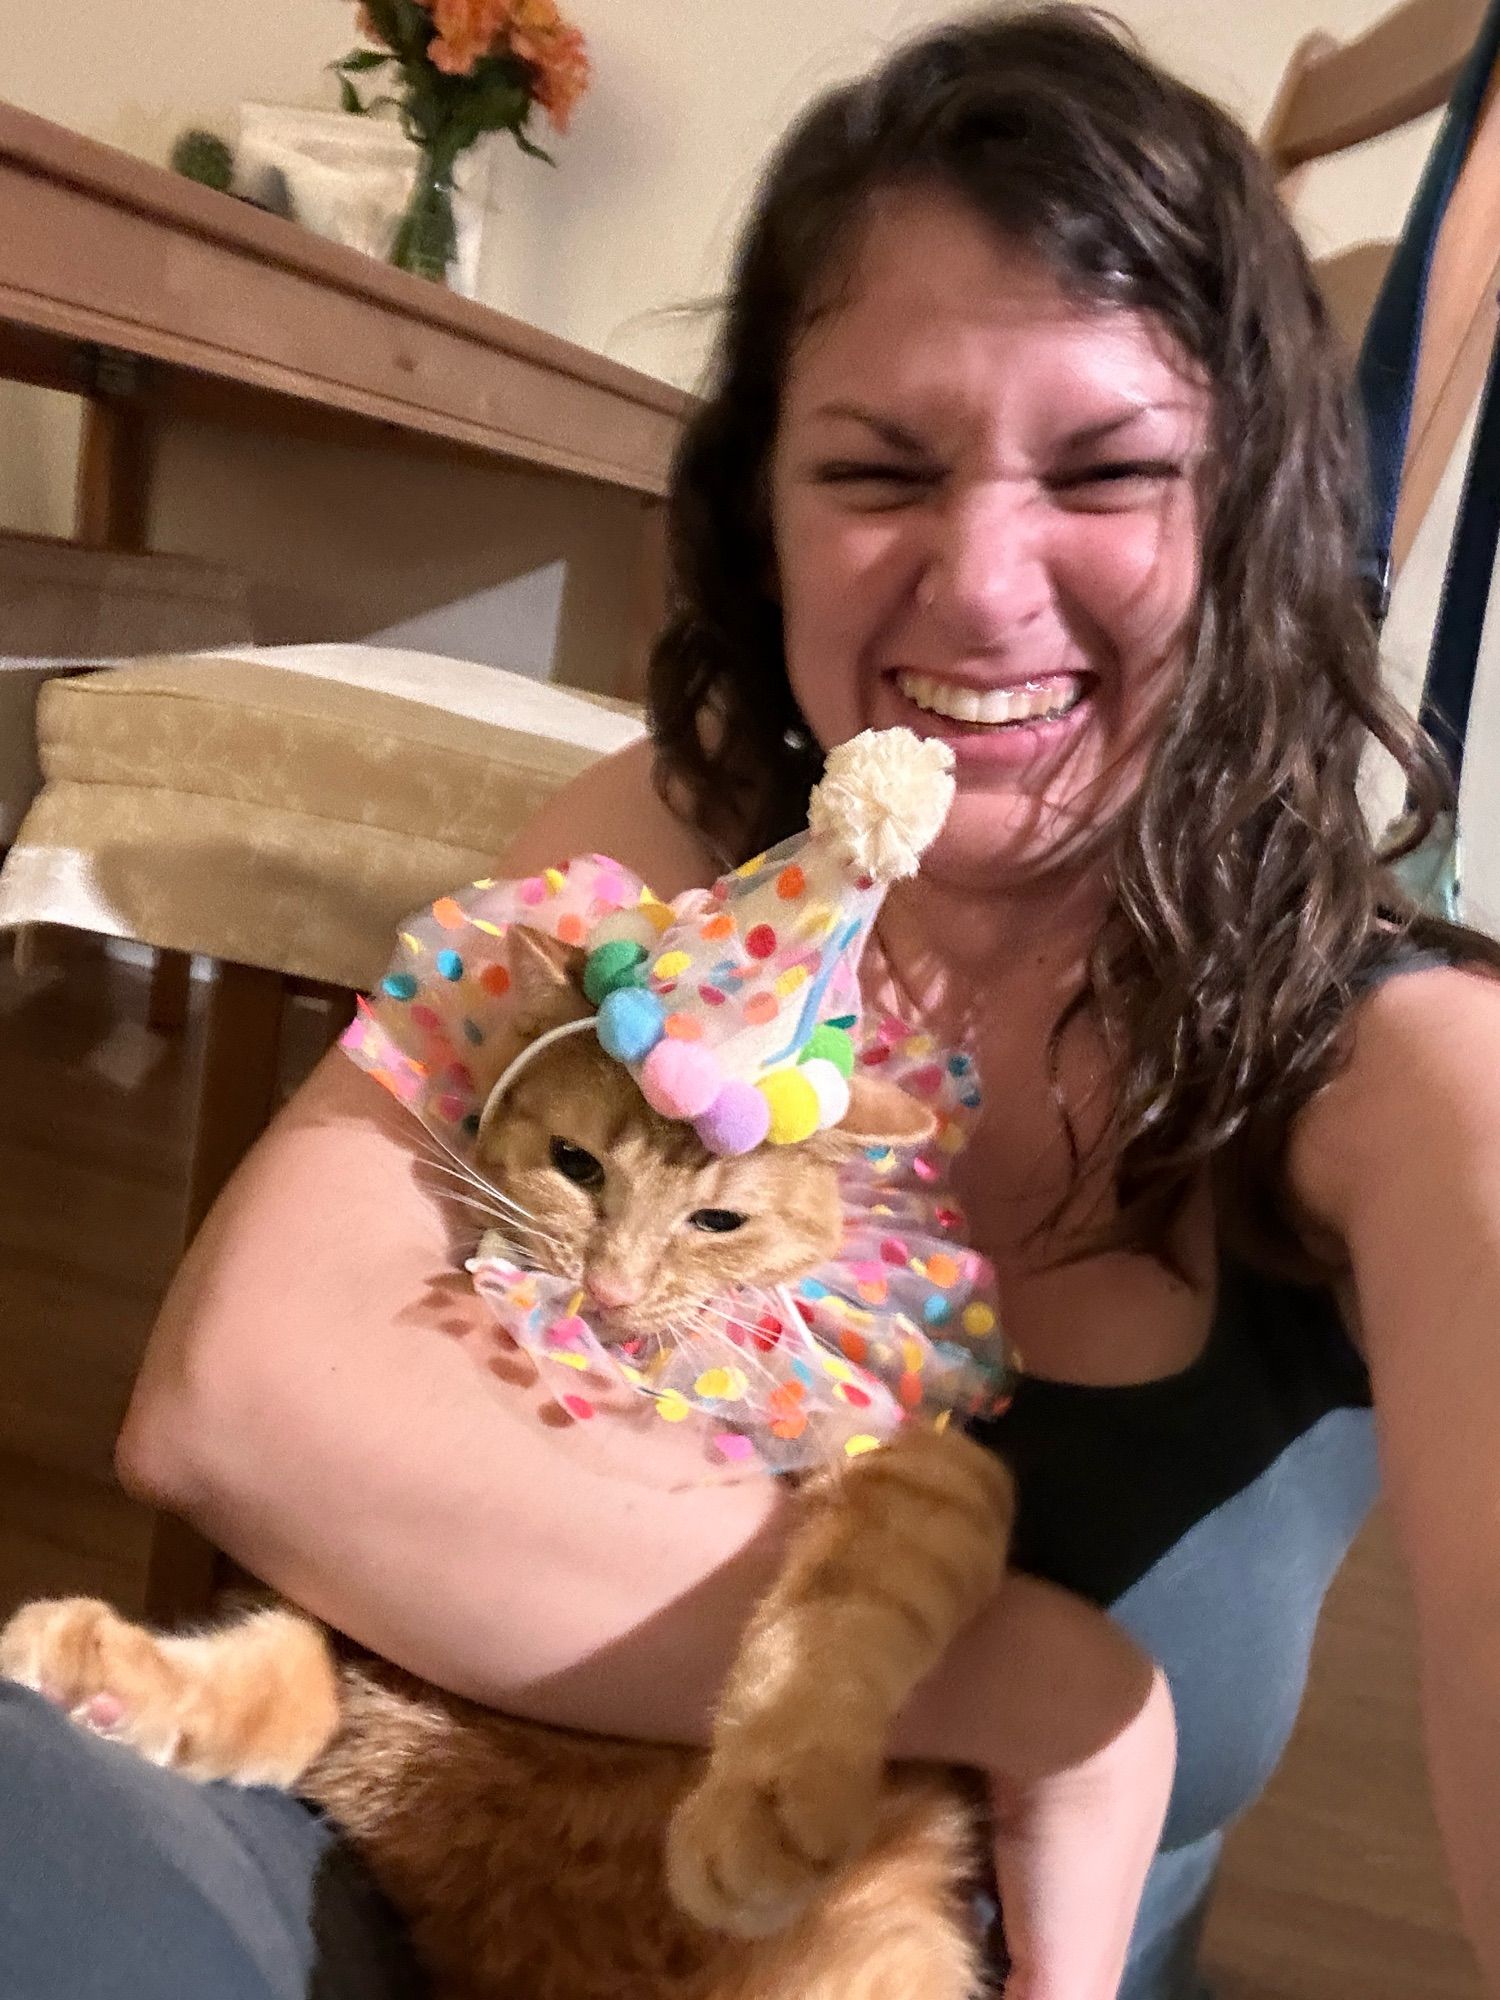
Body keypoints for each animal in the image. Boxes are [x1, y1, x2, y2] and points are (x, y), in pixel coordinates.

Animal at [0, 936, 1016, 2000]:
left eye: (718, 1222)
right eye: (577, 1166)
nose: (610, 1285)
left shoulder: (919, 1470)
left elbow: (844, 1607)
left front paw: (770, 1801)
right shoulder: (367, 1631)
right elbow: (278, 1675)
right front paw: (117, 1679)